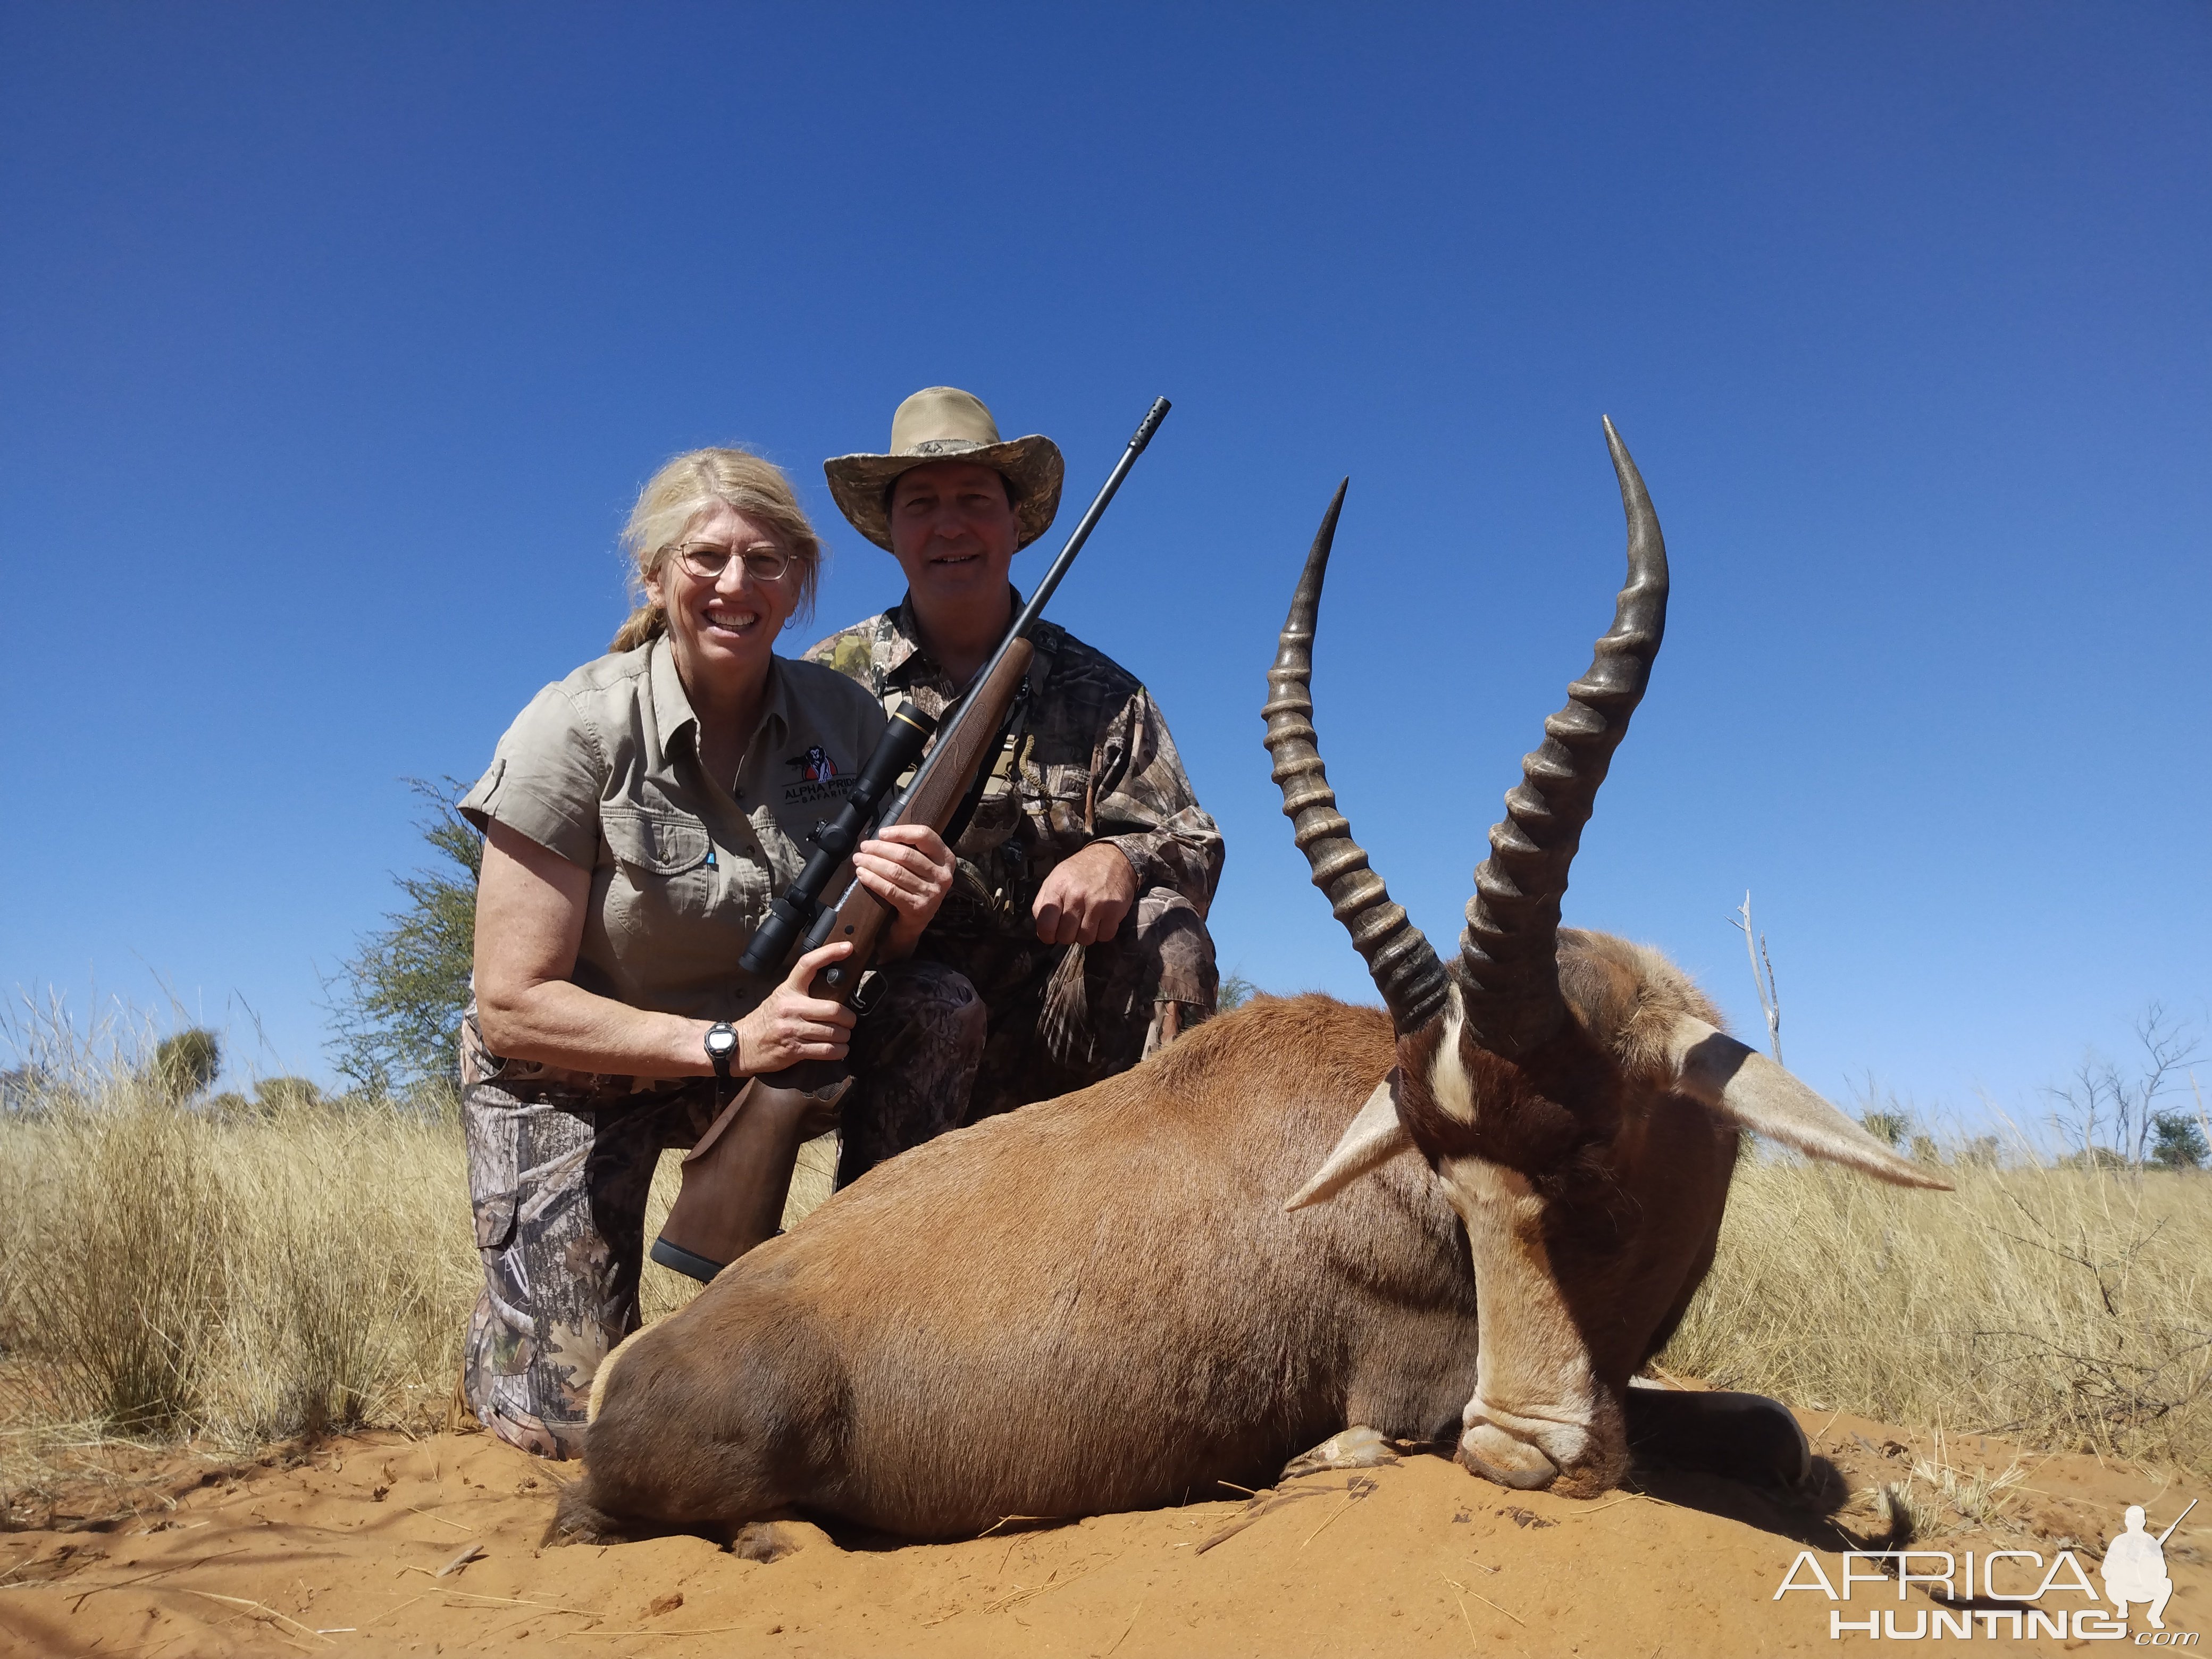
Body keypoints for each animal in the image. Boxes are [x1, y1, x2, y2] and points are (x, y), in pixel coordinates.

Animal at [557, 424, 1955, 1548]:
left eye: (1598, 1159)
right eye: (1452, 1171)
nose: (1514, 1448)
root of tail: (624, 1375)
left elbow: (1774, 1424)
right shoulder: (1423, 1382)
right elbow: (1752, 1421)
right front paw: (1331, 1455)